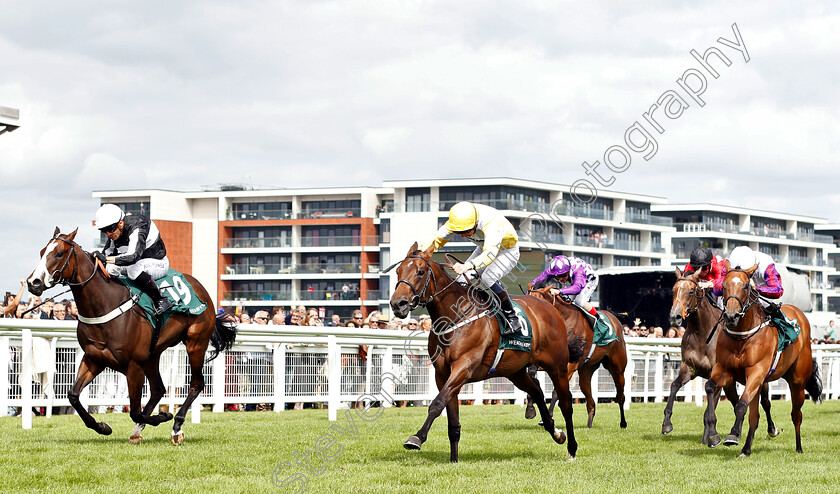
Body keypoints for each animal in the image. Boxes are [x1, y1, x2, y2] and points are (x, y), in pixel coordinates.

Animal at [26, 230, 236, 446]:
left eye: (59, 253)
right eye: (42, 252)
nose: (33, 282)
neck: (105, 304)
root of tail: (201, 288)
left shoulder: (133, 365)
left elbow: (135, 411)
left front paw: (163, 416)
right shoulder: (94, 358)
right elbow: (73, 395)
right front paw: (102, 426)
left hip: (196, 342)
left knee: (196, 384)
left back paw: (176, 426)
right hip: (152, 354)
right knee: (159, 389)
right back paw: (139, 430)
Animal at [392, 245, 576, 462]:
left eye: (420, 272)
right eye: (398, 271)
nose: (398, 304)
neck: (455, 316)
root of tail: (550, 307)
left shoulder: (464, 367)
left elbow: (437, 403)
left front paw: (417, 438)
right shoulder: (442, 374)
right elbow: (452, 419)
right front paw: (454, 460)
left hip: (558, 367)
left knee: (566, 403)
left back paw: (572, 449)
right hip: (515, 371)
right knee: (537, 391)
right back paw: (556, 432)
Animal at [520, 286, 628, 428]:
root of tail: (615, 320)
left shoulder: (569, 365)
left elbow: (556, 391)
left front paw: (547, 417)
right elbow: (533, 379)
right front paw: (530, 410)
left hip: (617, 367)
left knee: (620, 395)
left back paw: (623, 423)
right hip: (586, 371)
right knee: (590, 402)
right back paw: (589, 425)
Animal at [660, 270, 776, 440]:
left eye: (691, 291)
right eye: (674, 290)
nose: (675, 317)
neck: (702, 333)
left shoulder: (717, 373)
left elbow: (711, 406)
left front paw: (710, 436)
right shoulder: (689, 368)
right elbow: (674, 385)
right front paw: (667, 423)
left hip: (760, 376)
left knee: (766, 402)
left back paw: (772, 429)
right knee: (736, 402)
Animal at [704, 262, 820, 456]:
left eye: (745, 286)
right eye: (724, 286)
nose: (731, 316)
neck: (742, 337)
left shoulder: (756, 372)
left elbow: (741, 404)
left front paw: (733, 435)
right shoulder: (725, 370)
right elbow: (710, 387)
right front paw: (713, 435)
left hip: (797, 382)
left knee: (796, 415)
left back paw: (799, 448)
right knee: (755, 417)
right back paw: (747, 449)